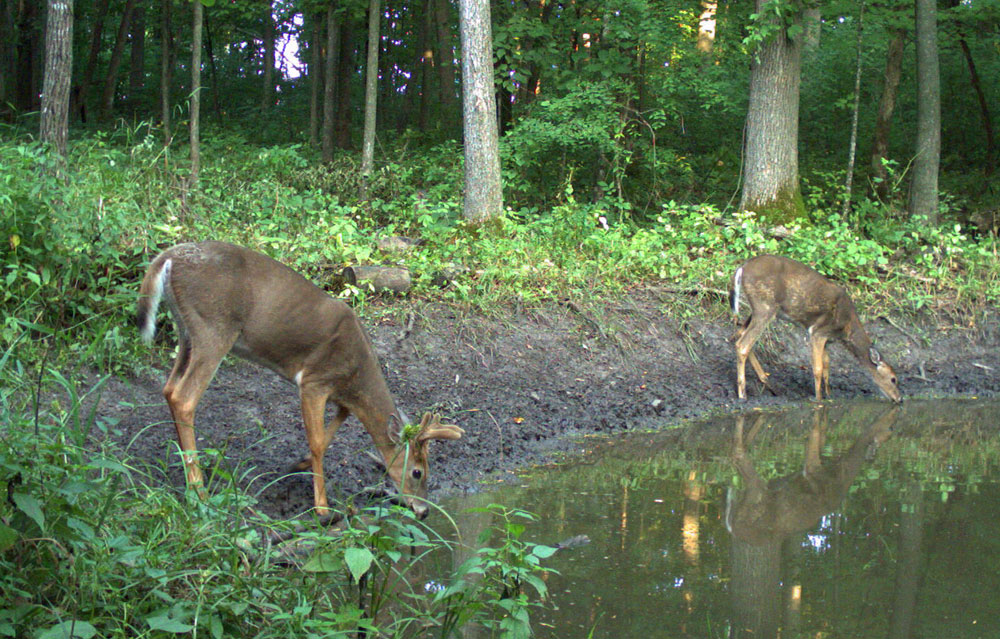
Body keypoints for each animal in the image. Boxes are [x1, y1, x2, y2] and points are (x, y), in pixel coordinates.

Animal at [137, 241, 464, 520]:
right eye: (418, 472)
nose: (424, 511)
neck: (356, 373)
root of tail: (167, 258)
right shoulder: (314, 380)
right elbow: (318, 442)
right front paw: (322, 508)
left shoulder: (338, 393)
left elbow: (335, 426)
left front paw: (298, 464)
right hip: (214, 327)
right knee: (184, 397)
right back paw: (199, 490)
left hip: (187, 331)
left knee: (169, 388)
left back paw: (187, 467)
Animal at [732, 252, 904, 402]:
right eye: (893, 379)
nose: (899, 399)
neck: (845, 328)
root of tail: (742, 268)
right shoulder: (818, 332)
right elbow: (818, 368)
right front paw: (819, 398)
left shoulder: (827, 338)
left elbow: (827, 363)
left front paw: (828, 394)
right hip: (764, 306)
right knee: (743, 344)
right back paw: (742, 394)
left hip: (759, 309)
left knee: (740, 332)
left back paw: (768, 384)